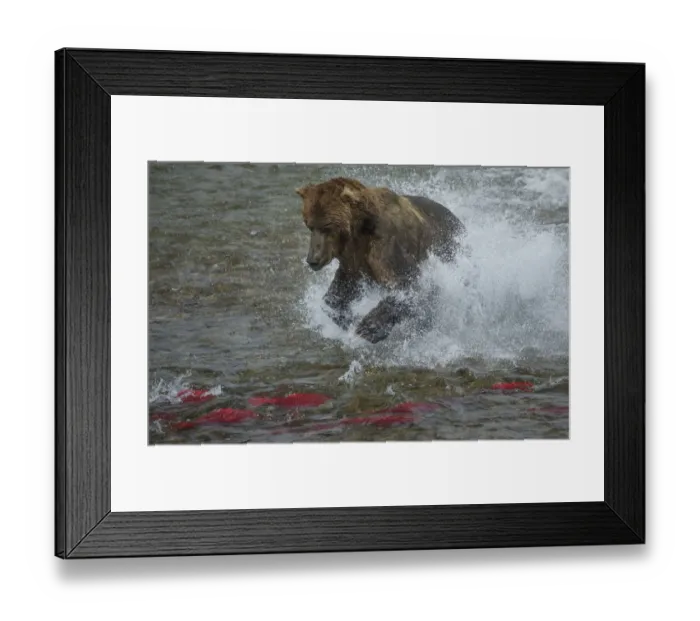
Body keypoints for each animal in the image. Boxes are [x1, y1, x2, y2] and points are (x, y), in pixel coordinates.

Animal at [296, 177, 465, 343]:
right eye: (309, 225)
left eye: (327, 226)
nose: (313, 259)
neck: (359, 231)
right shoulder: (352, 261)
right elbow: (339, 292)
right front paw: (346, 318)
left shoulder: (385, 246)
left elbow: (408, 283)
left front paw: (368, 327)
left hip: (448, 247)